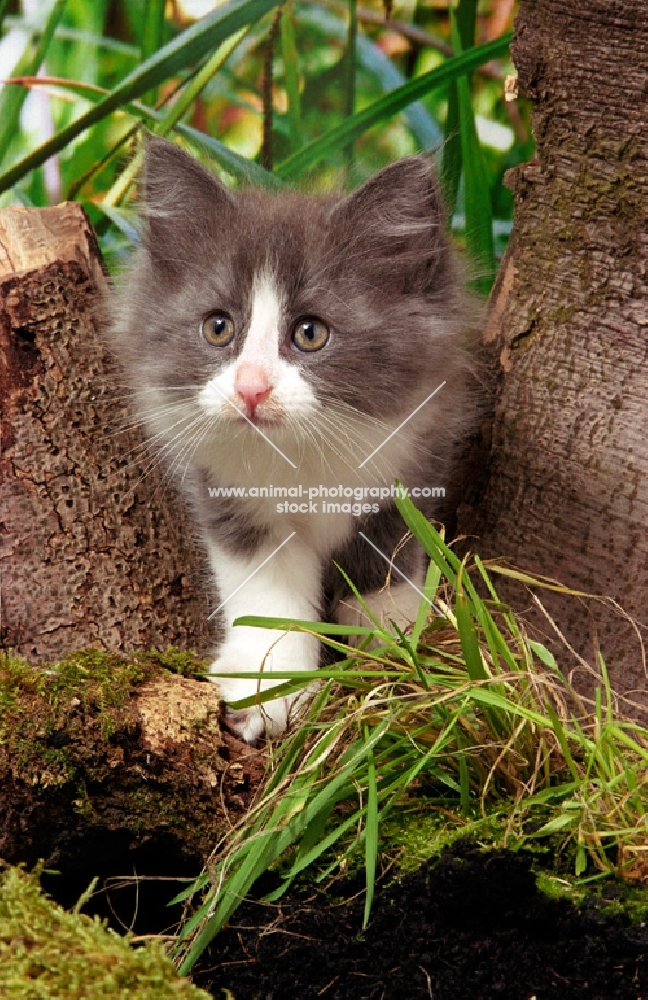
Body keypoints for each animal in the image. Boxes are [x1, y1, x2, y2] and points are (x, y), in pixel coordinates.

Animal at [106, 135, 474, 744]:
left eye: (310, 333)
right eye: (218, 327)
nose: (251, 387)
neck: (303, 456)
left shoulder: (412, 465)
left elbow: (386, 571)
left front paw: (394, 659)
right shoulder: (228, 494)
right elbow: (266, 592)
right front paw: (269, 687)